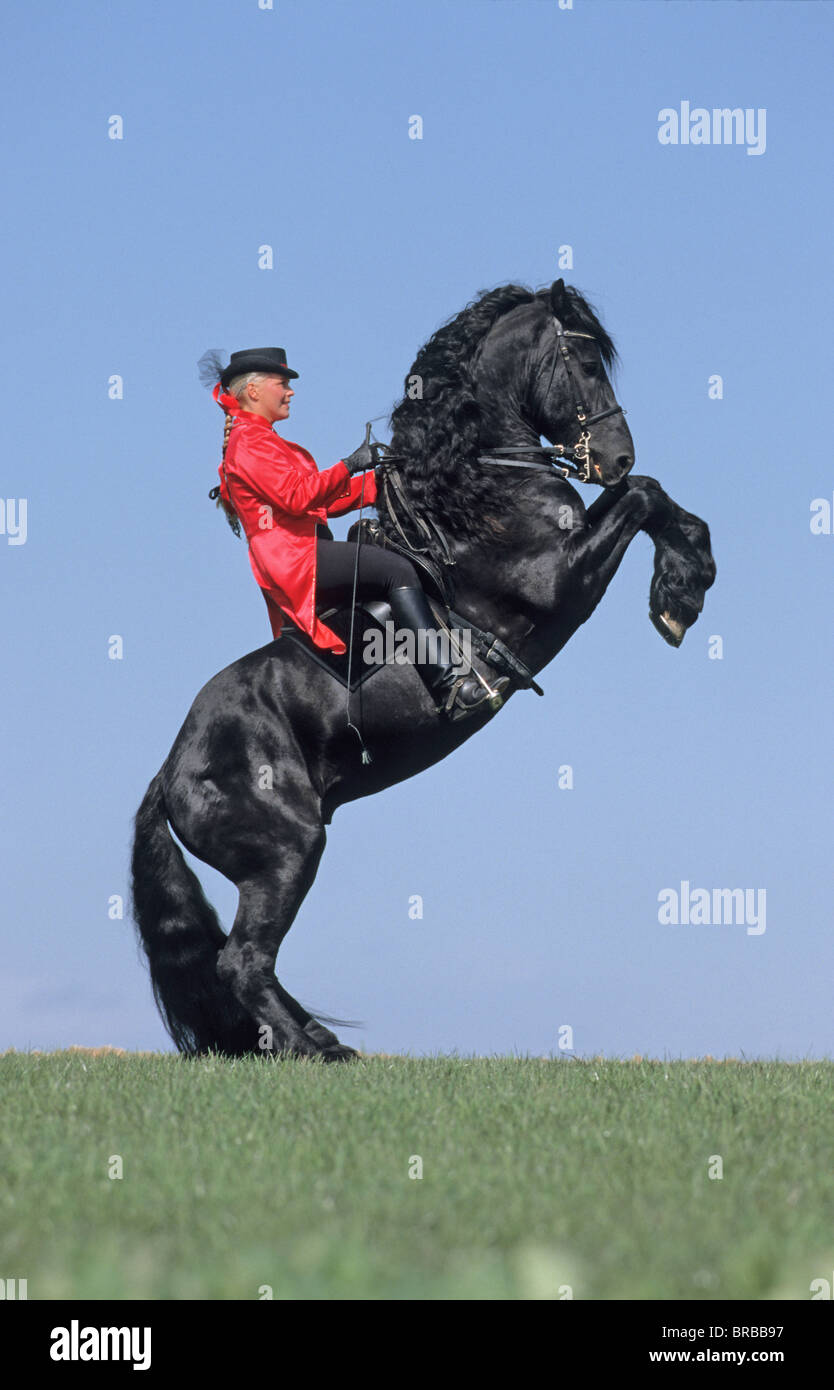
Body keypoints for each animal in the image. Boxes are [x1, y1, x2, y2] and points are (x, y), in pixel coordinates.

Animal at [132, 282, 717, 1061]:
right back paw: (317, 1050)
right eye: (588, 362)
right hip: (288, 849)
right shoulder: (560, 578)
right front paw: (679, 593)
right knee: (243, 960)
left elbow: (658, 500)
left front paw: (687, 581)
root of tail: (172, 770)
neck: (480, 487)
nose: (617, 456)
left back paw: (315, 1037)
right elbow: (644, 496)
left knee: (251, 961)